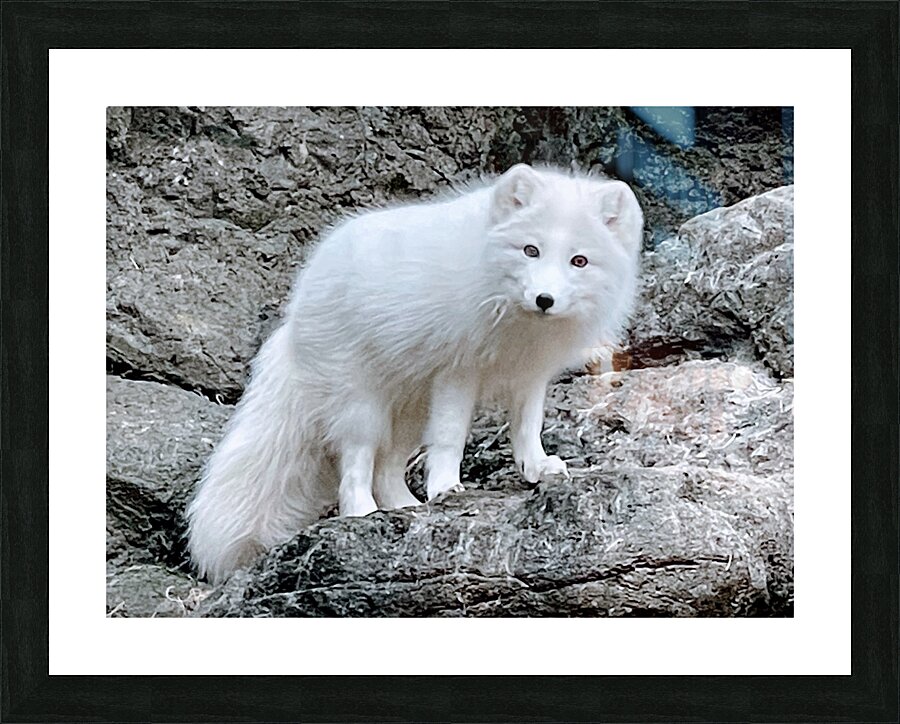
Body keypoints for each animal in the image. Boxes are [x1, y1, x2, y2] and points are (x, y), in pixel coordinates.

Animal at [186, 163, 643, 583]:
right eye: (531, 250)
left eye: (579, 261)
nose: (544, 299)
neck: (516, 320)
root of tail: (295, 310)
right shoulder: (458, 369)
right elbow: (450, 438)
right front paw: (445, 487)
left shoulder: (530, 375)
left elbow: (528, 428)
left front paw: (536, 468)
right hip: (362, 405)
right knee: (355, 461)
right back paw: (362, 512)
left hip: (408, 411)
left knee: (387, 467)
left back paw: (403, 508)